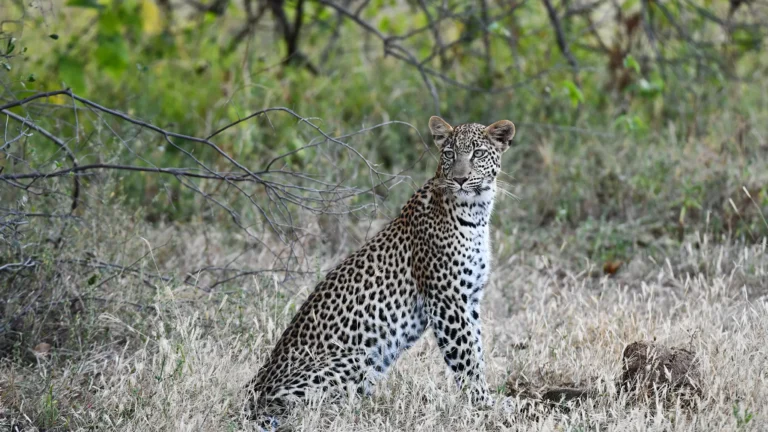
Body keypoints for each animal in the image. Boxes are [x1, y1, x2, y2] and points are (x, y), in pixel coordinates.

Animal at [245, 116, 517, 423]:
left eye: (478, 154)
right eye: (449, 154)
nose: (460, 179)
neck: (477, 211)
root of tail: (253, 391)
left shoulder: (469, 298)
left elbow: (477, 349)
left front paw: (487, 400)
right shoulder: (446, 300)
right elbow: (466, 357)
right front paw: (484, 404)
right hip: (355, 359)